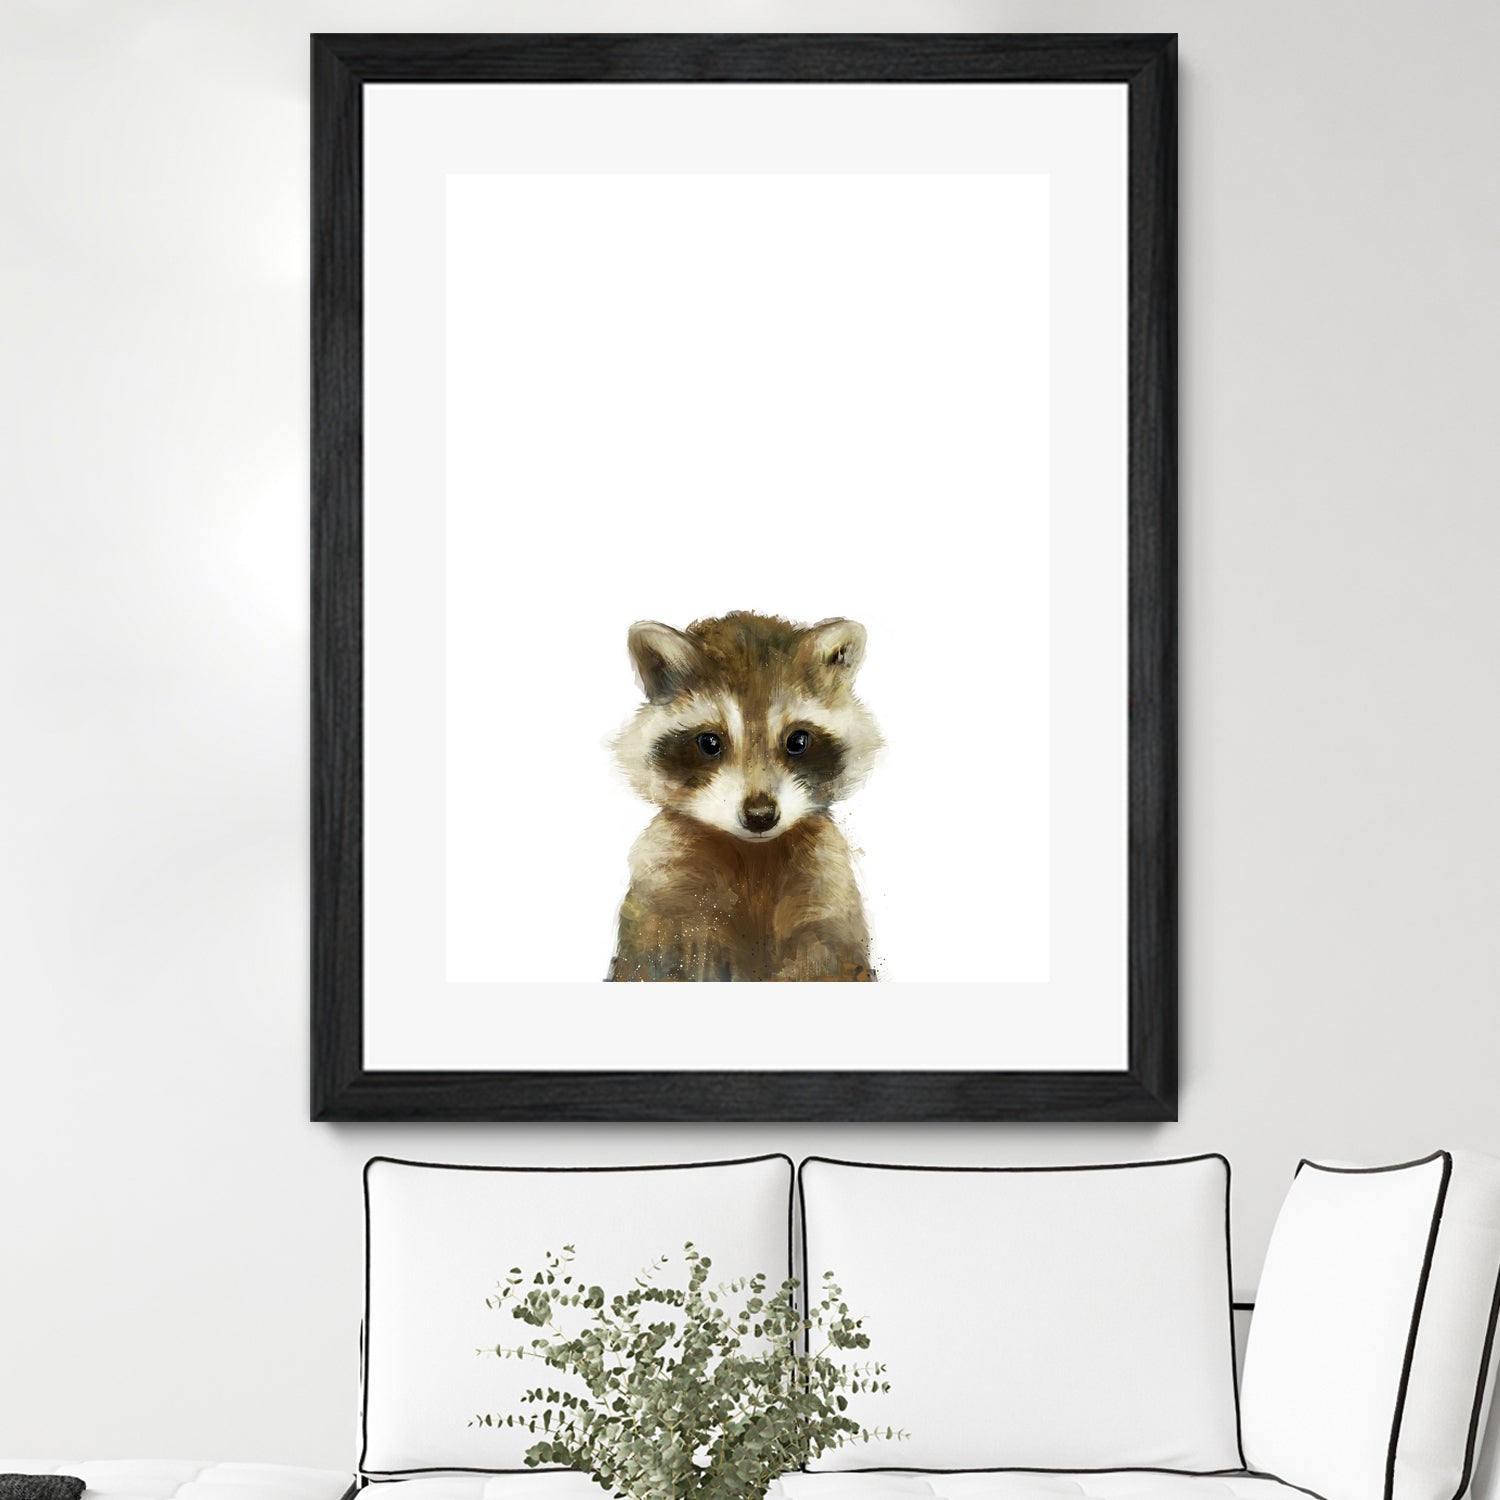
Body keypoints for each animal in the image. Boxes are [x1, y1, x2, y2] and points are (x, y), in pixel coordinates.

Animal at [609, 611, 882, 982]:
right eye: (709, 742)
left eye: (797, 741)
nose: (760, 816)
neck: (754, 855)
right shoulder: (664, 889)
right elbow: (656, 961)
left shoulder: (826, 888)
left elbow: (829, 959)